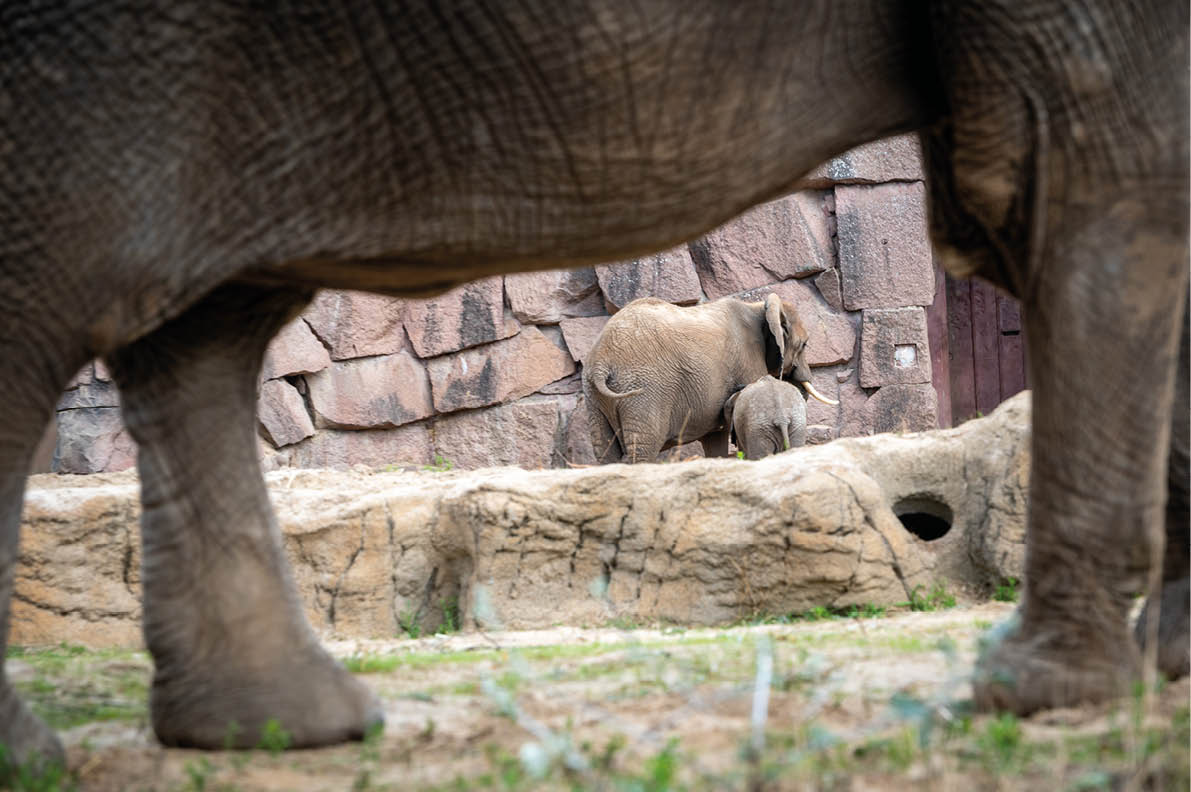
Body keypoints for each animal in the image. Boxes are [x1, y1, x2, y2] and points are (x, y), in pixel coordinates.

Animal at [582, 295, 837, 463]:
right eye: (805, 345)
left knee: (604, 452)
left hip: (594, 397)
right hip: (644, 390)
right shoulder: (748, 361)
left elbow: (715, 437)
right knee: (642, 450)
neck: (757, 307)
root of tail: (601, 361)